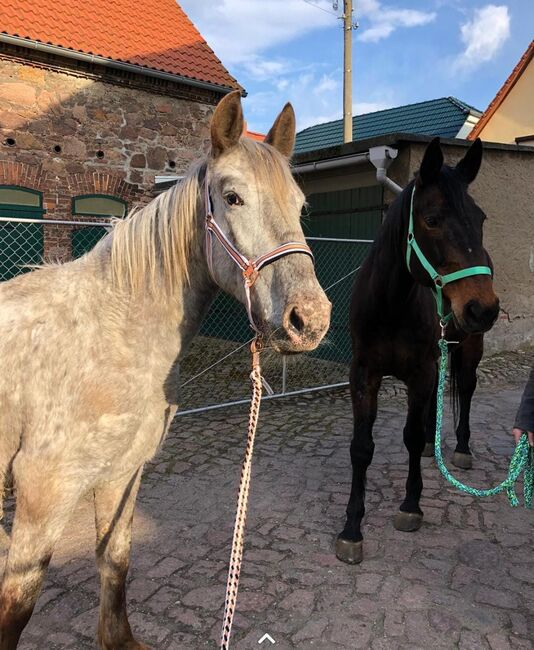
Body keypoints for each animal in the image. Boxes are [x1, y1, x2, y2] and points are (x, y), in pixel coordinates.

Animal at [0, 92, 330, 648]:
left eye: (299, 204)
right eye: (233, 198)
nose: (309, 320)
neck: (113, 331)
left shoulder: (123, 472)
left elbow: (115, 561)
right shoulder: (44, 489)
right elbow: (16, 606)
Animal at [338, 138, 500, 560]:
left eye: (481, 219)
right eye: (431, 220)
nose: (483, 308)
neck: (391, 305)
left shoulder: (420, 372)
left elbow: (408, 436)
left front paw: (411, 506)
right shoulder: (364, 375)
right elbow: (361, 447)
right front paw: (352, 528)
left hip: (468, 349)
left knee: (466, 389)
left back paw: (460, 448)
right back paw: (432, 443)